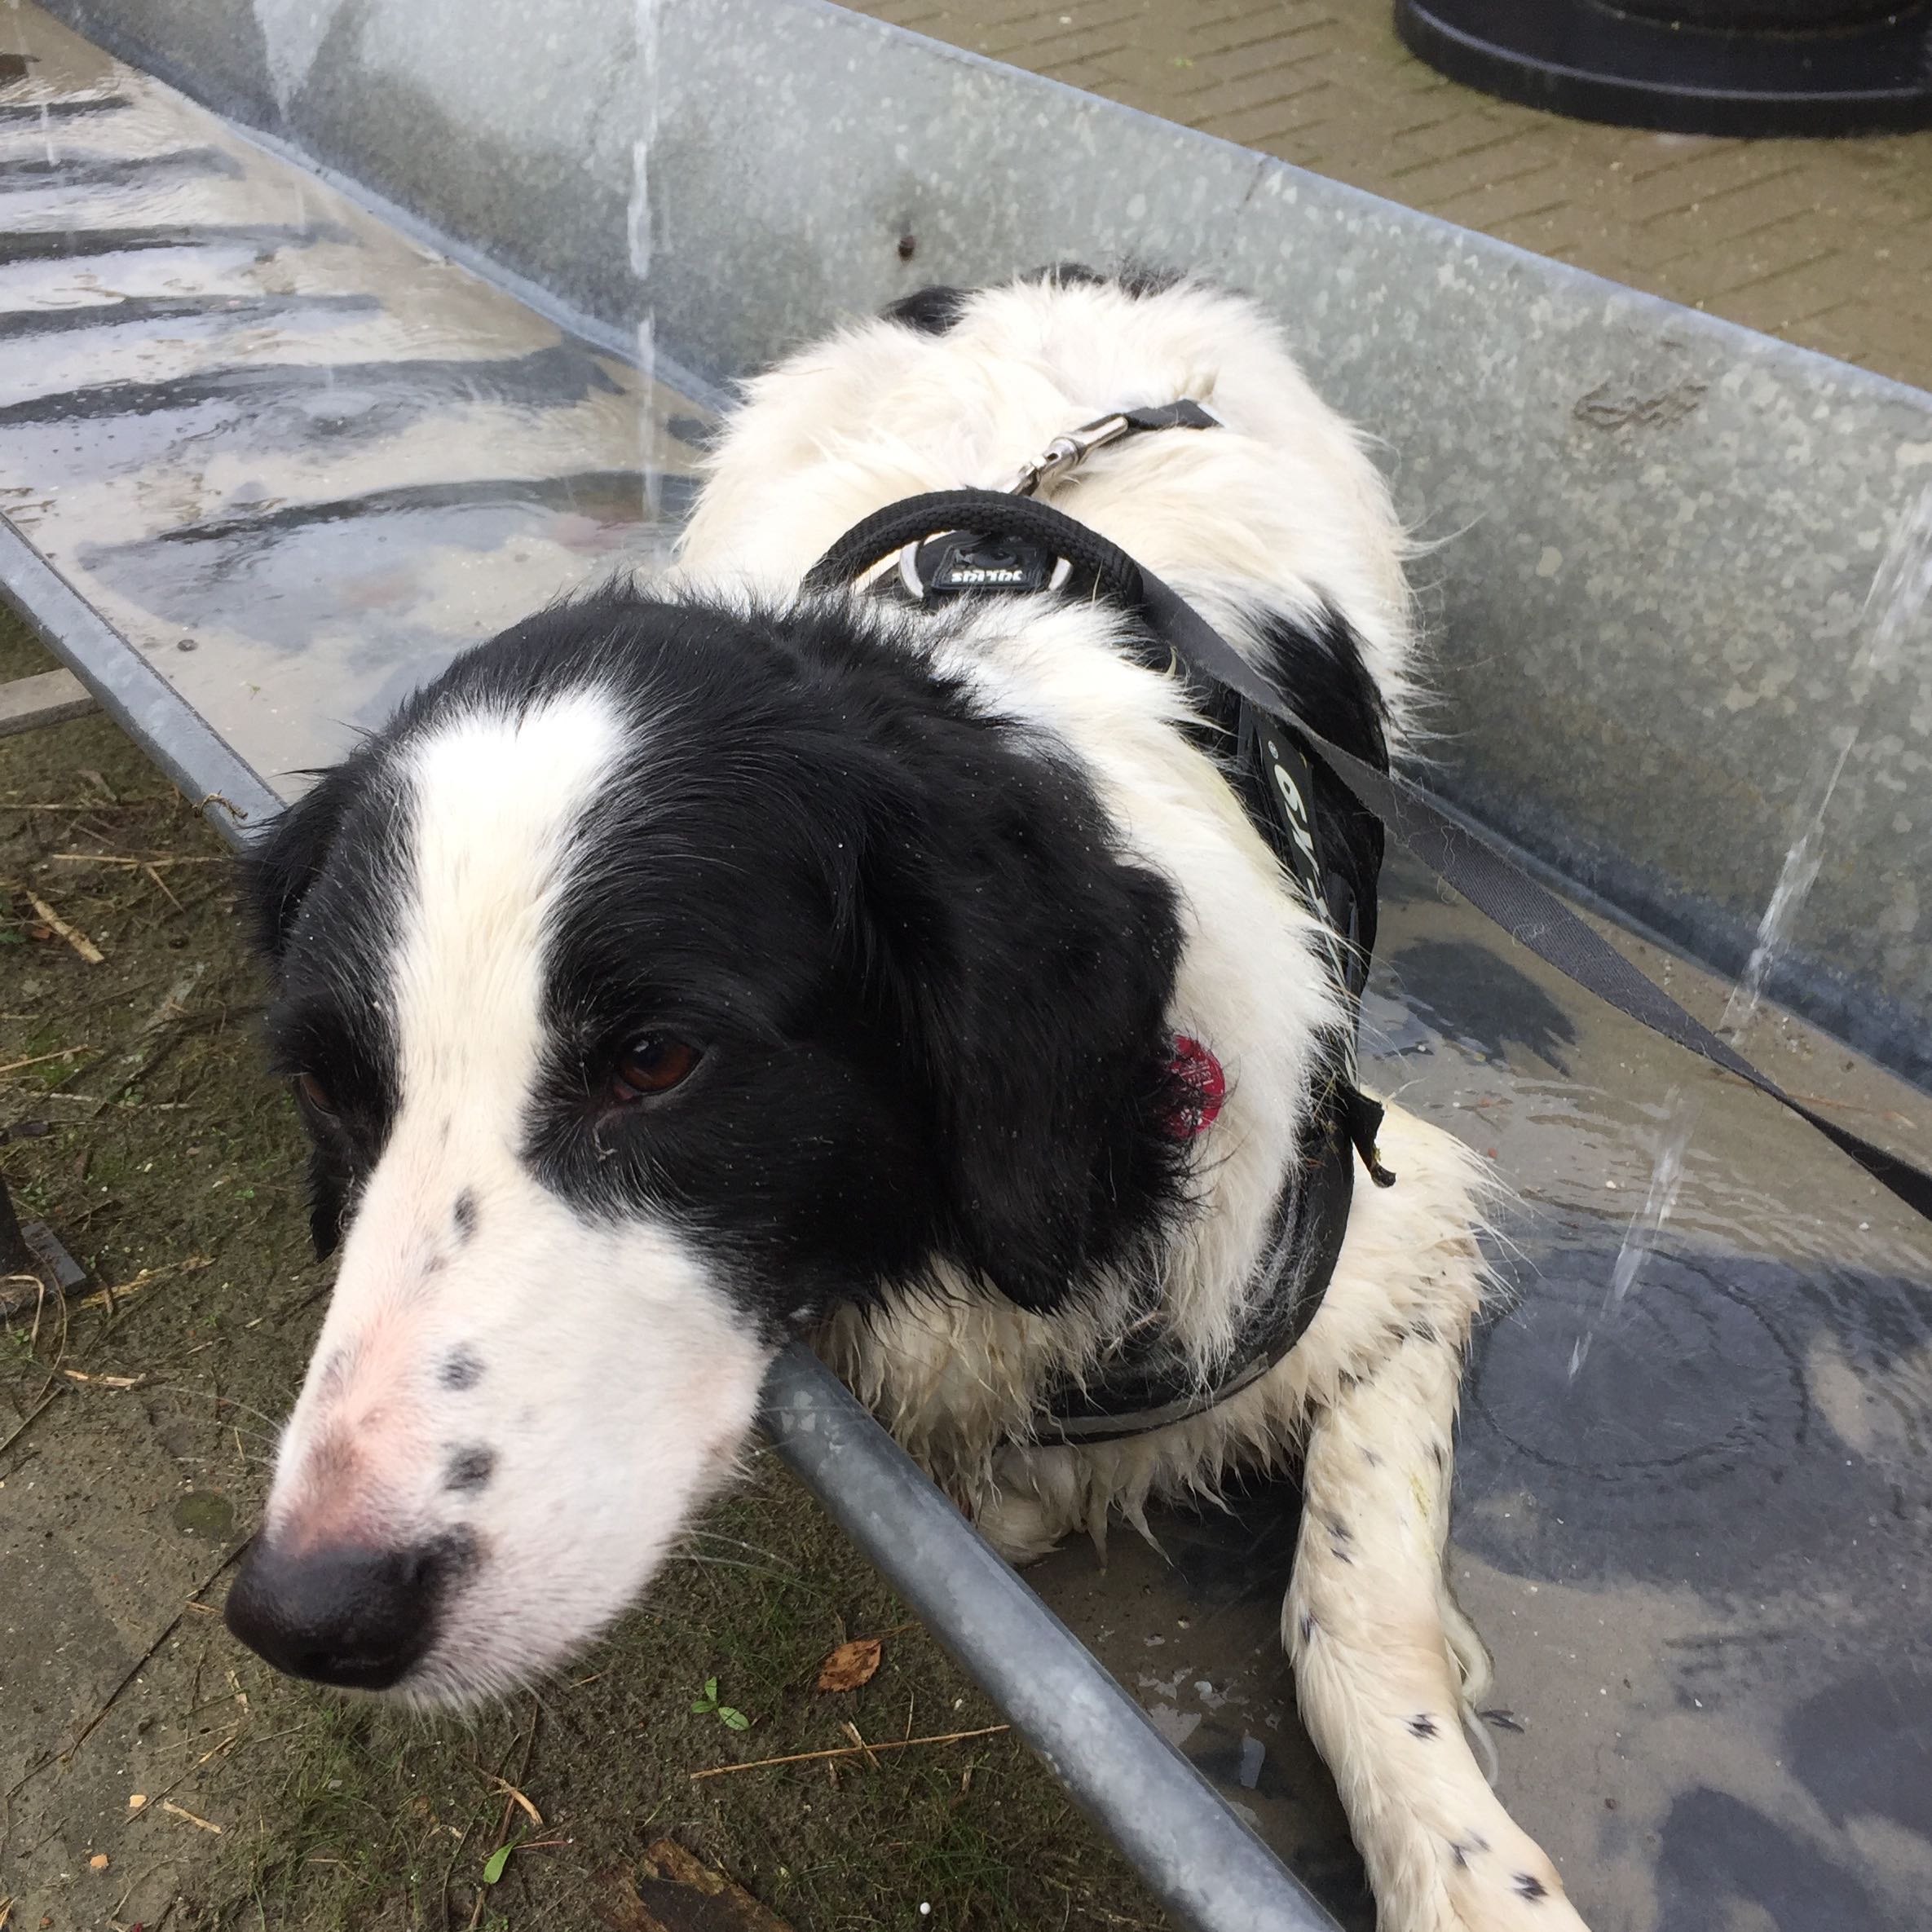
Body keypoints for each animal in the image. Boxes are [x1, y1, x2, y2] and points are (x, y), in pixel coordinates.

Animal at [226, 272, 1584, 1932]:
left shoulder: (1394, 1225)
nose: (308, 1612)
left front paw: (1470, 1869)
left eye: (655, 1061)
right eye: (328, 1081)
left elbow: (1352, 1599)